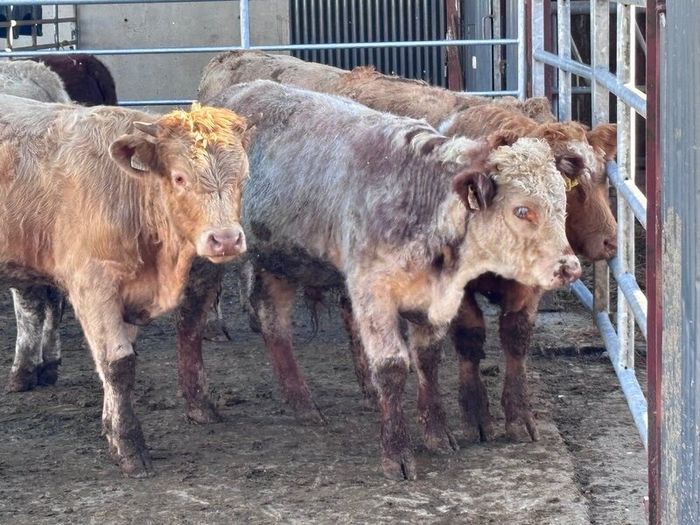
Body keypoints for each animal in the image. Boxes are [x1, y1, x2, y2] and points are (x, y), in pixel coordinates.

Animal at [0, 94, 249, 476]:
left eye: (244, 177)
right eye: (179, 177)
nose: (226, 240)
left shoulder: (130, 296)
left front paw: (112, 431)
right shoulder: (93, 286)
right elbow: (117, 364)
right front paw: (130, 446)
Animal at [198, 51, 619, 442]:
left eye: (601, 178)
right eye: (575, 185)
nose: (611, 241)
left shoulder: (527, 285)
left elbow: (516, 339)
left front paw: (519, 417)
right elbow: (469, 338)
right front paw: (475, 416)